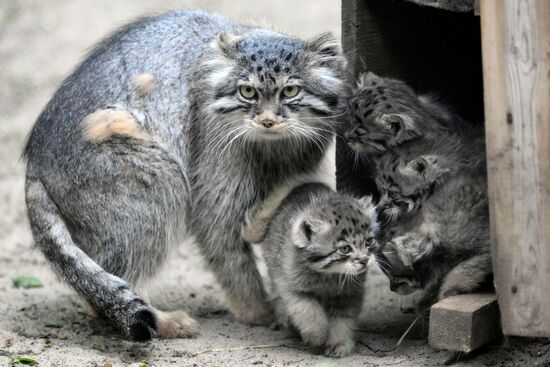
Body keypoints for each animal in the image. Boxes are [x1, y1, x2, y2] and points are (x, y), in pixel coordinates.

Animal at [247, 185, 380, 358]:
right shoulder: (292, 287)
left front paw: (339, 343)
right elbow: (307, 311)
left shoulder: (348, 295)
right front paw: (317, 336)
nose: (364, 260)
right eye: (345, 249)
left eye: (368, 241)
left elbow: (343, 320)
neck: (327, 275)